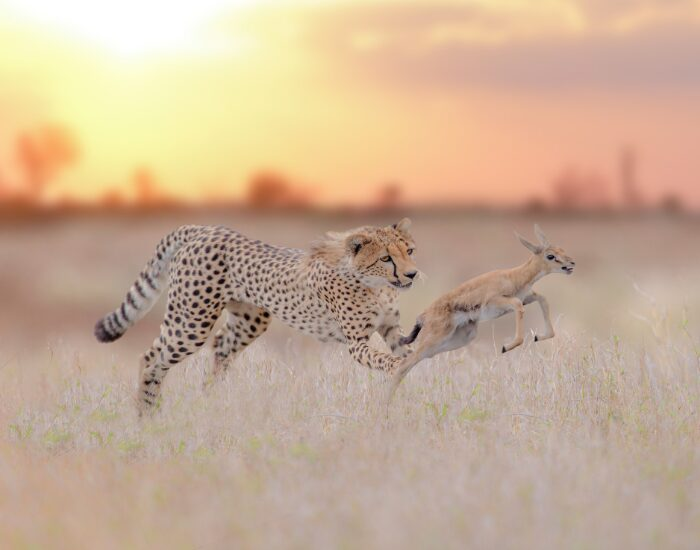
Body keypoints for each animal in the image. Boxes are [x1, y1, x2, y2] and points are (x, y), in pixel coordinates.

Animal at [386, 224, 575, 403]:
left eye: (561, 249)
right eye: (550, 256)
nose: (571, 264)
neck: (513, 276)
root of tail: (423, 316)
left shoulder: (528, 297)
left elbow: (543, 300)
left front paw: (538, 337)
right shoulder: (501, 302)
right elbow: (519, 306)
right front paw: (506, 347)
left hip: (456, 340)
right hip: (435, 339)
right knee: (403, 365)